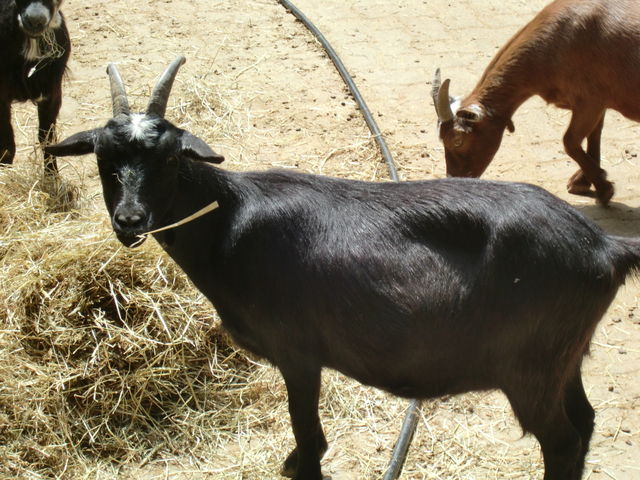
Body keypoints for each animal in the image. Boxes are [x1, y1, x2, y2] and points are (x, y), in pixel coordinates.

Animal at [47, 59, 640, 480]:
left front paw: (302, 466)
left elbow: (307, 431)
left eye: (170, 158)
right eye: (102, 158)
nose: (130, 219)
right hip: (564, 356)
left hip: (530, 368)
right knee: (585, 423)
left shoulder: (298, 353)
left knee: (561, 442)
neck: (230, 222)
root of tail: (605, 247)